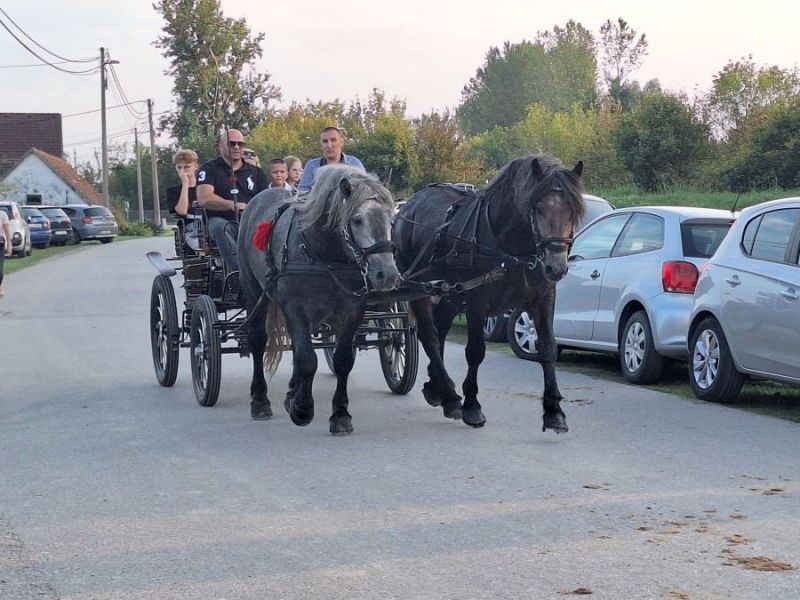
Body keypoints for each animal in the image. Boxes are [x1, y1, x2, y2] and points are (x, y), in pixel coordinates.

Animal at [237, 165, 400, 434]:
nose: (386, 274)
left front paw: (340, 415)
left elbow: (342, 360)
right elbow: (307, 359)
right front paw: (302, 408)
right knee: (258, 341)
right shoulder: (295, 307)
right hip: (254, 293)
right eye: (357, 220)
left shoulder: (352, 311)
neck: (326, 254)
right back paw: (260, 400)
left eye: (391, 219)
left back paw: (291, 392)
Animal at [393, 154, 584, 433]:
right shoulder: (477, 302)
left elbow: (548, 349)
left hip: (448, 293)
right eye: (537, 208)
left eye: (573, 210)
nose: (556, 267)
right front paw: (472, 406)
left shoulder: (544, 298)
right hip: (419, 289)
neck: (511, 250)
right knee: (429, 336)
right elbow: (475, 351)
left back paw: (439, 389)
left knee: (439, 330)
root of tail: (407, 206)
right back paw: (450, 395)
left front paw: (554, 411)